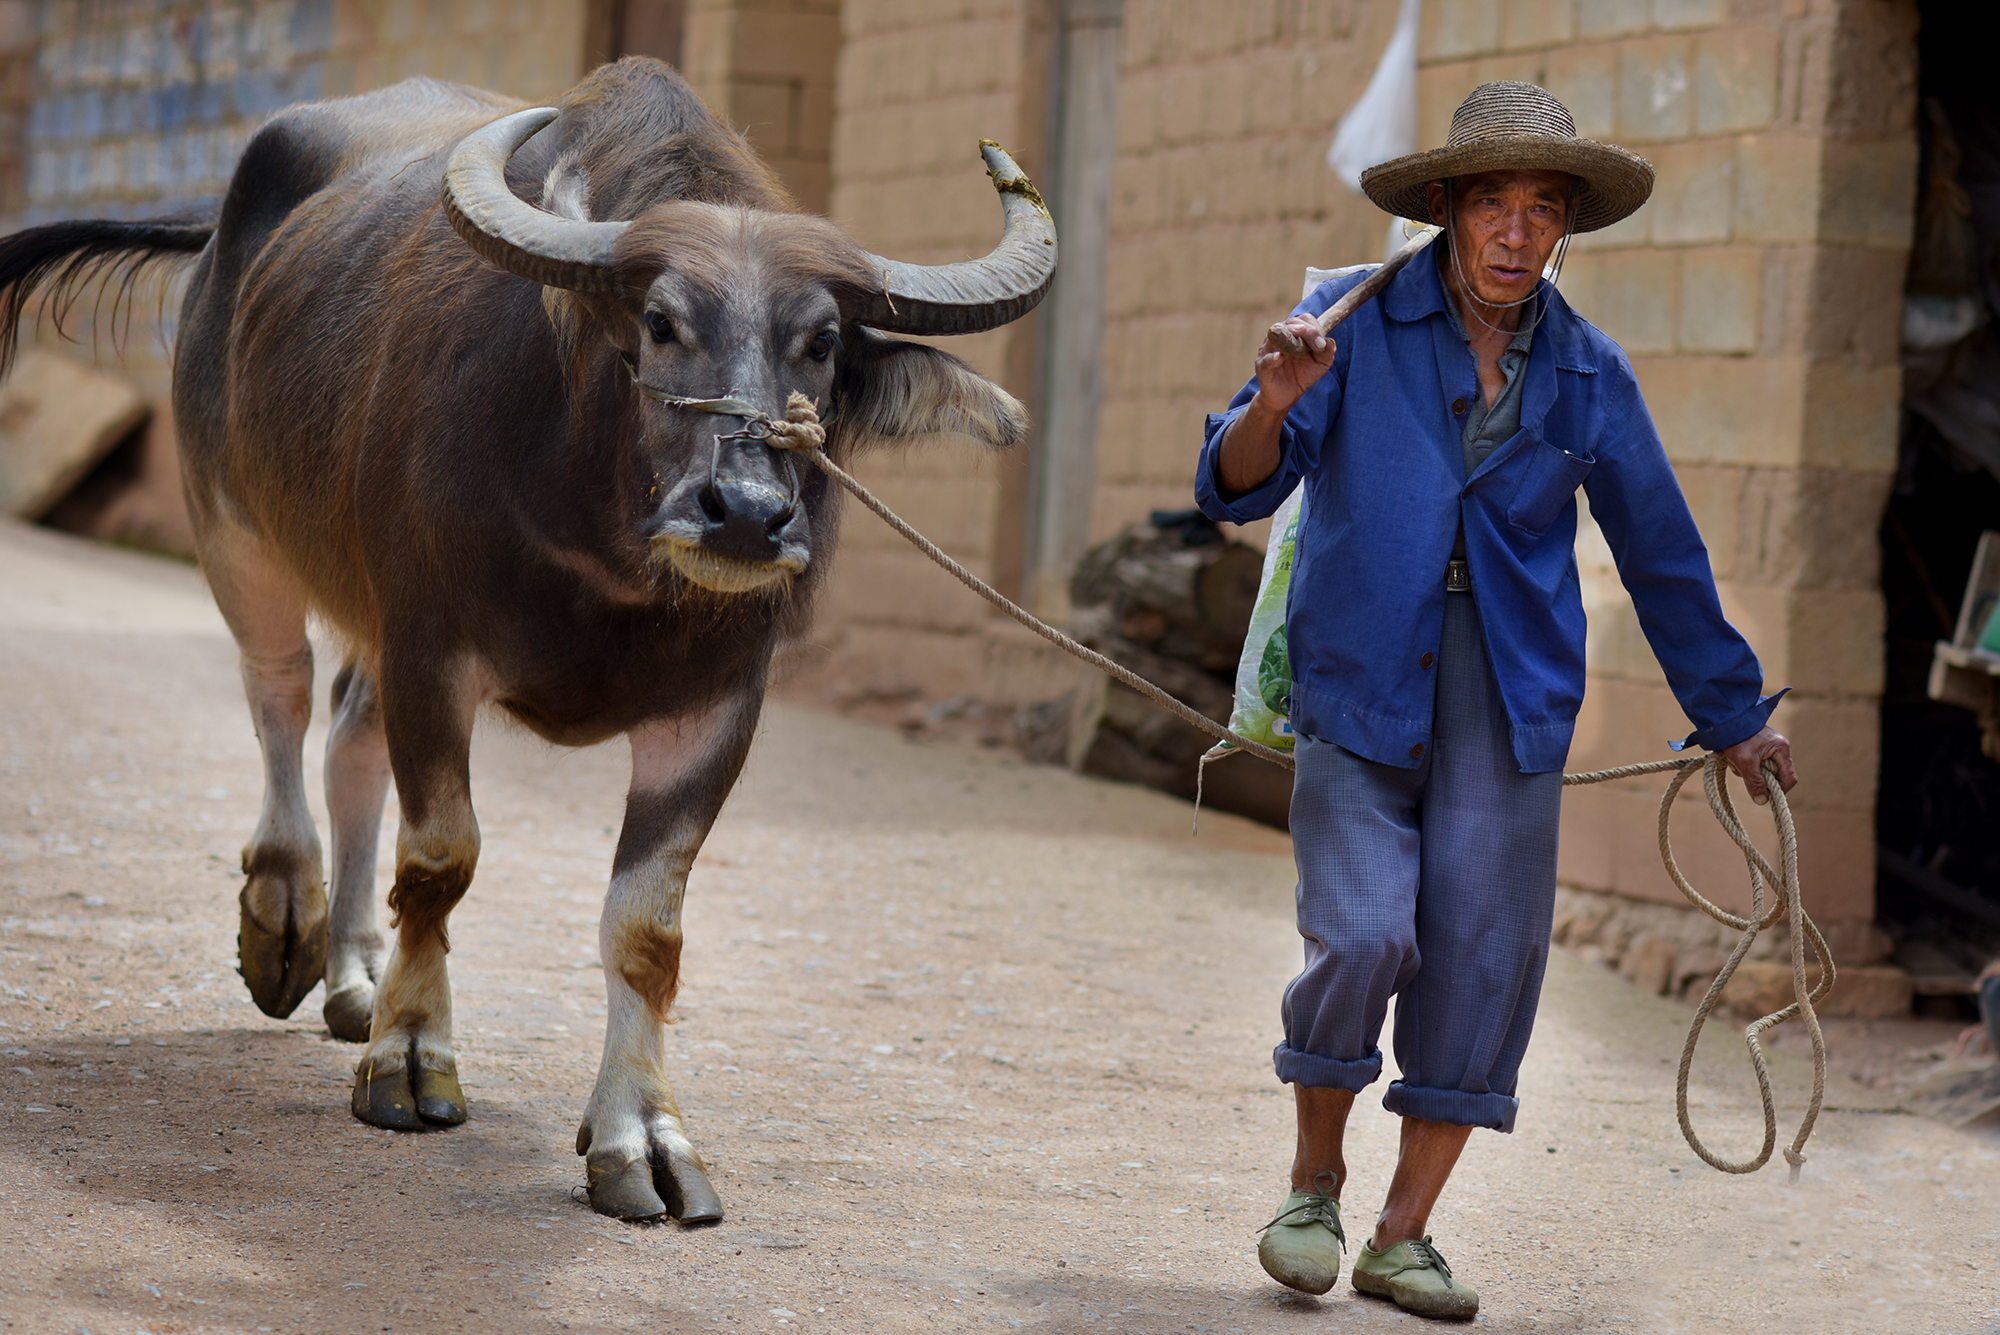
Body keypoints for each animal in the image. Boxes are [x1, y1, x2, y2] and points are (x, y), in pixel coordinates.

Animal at [0, 57, 1064, 1223]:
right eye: (660, 322)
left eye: (821, 341)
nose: (744, 514)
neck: (607, 551)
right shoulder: (432, 648)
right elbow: (439, 859)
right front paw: (410, 1059)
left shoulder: (717, 706)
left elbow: (646, 930)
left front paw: (640, 1136)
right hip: (231, 522)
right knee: (278, 694)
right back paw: (285, 918)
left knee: (348, 739)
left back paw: (355, 972)